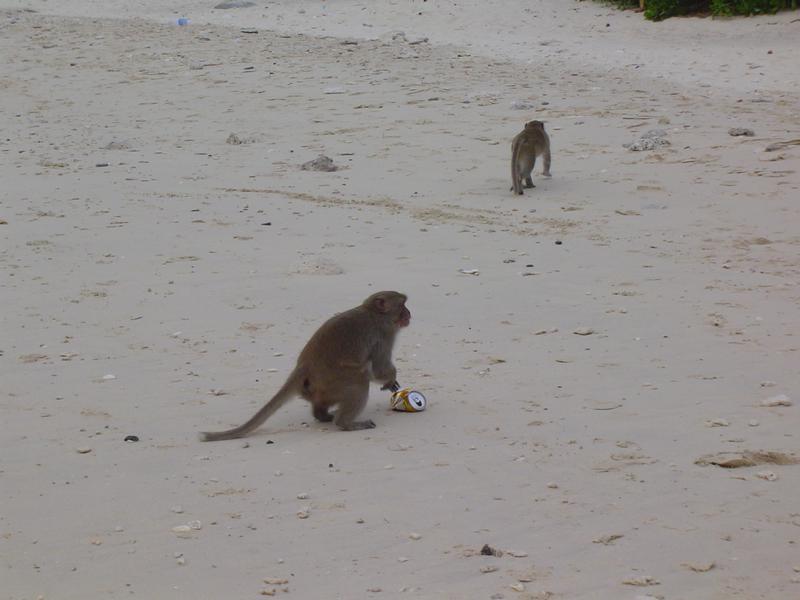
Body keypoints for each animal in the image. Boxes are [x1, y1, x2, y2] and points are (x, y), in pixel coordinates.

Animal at [199, 291, 411, 441]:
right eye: (402, 304)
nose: (409, 314)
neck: (372, 312)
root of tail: (303, 366)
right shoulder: (384, 335)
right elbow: (379, 367)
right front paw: (391, 378)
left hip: (319, 389)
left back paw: (322, 414)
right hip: (334, 381)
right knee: (360, 380)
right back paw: (345, 423)